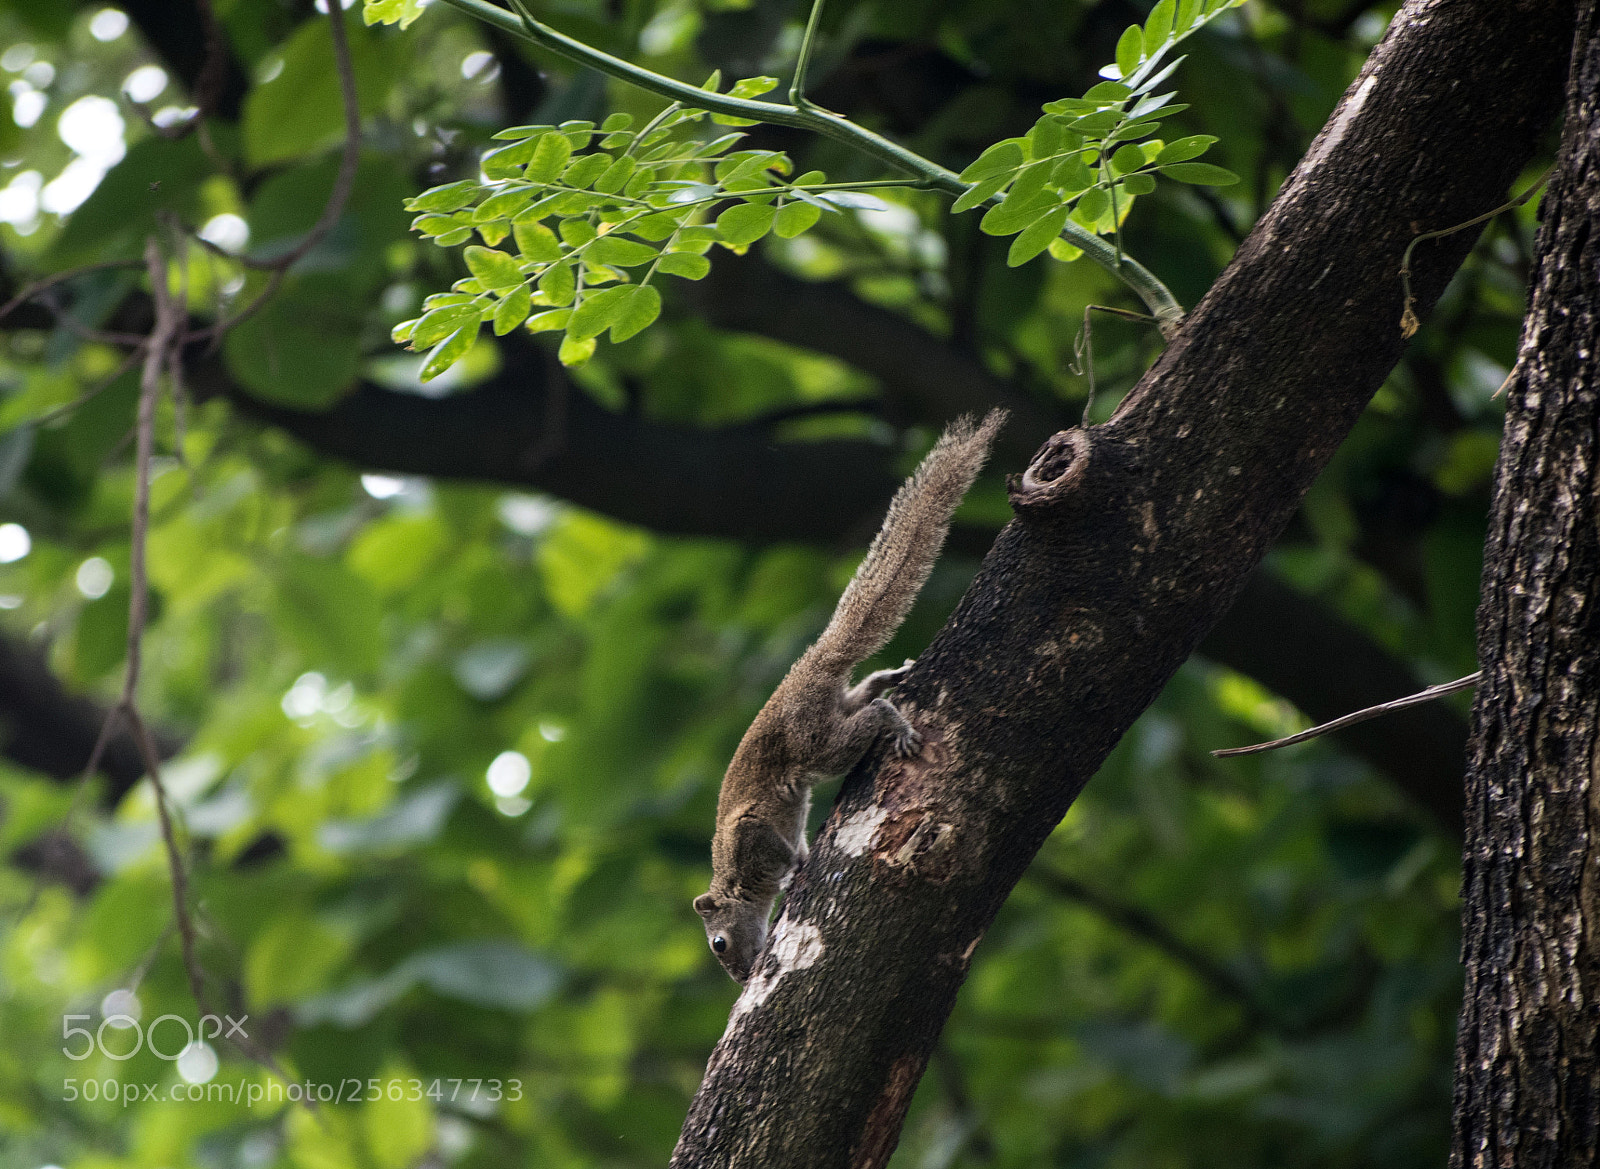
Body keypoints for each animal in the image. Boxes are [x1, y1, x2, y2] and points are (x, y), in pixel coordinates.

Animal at [694, 409, 1006, 982]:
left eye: (718, 944)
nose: (741, 978)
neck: (736, 881)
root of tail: (812, 665)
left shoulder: (748, 834)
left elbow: (782, 852)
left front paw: (795, 869)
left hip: (814, 740)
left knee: (869, 719)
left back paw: (898, 724)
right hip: (830, 711)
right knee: (864, 693)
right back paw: (891, 675)